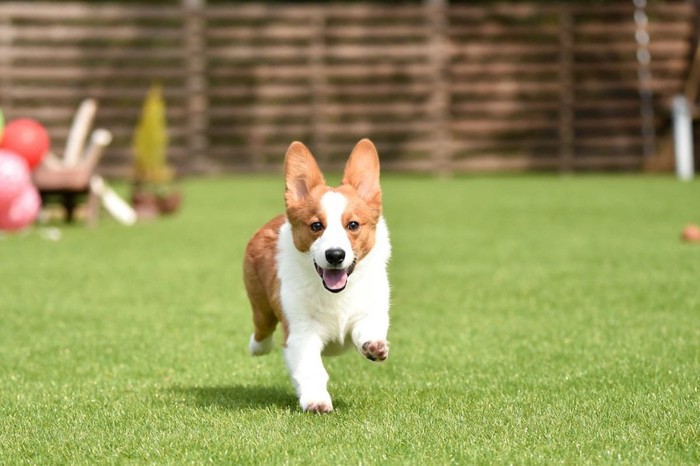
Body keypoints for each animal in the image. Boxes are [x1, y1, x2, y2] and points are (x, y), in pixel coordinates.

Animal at [243, 139, 392, 416]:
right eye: (316, 226)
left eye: (353, 225)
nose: (335, 255)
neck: (336, 293)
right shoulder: (301, 333)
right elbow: (311, 369)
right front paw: (316, 401)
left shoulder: (370, 310)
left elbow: (368, 329)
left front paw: (375, 346)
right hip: (261, 310)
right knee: (262, 332)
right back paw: (257, 347)